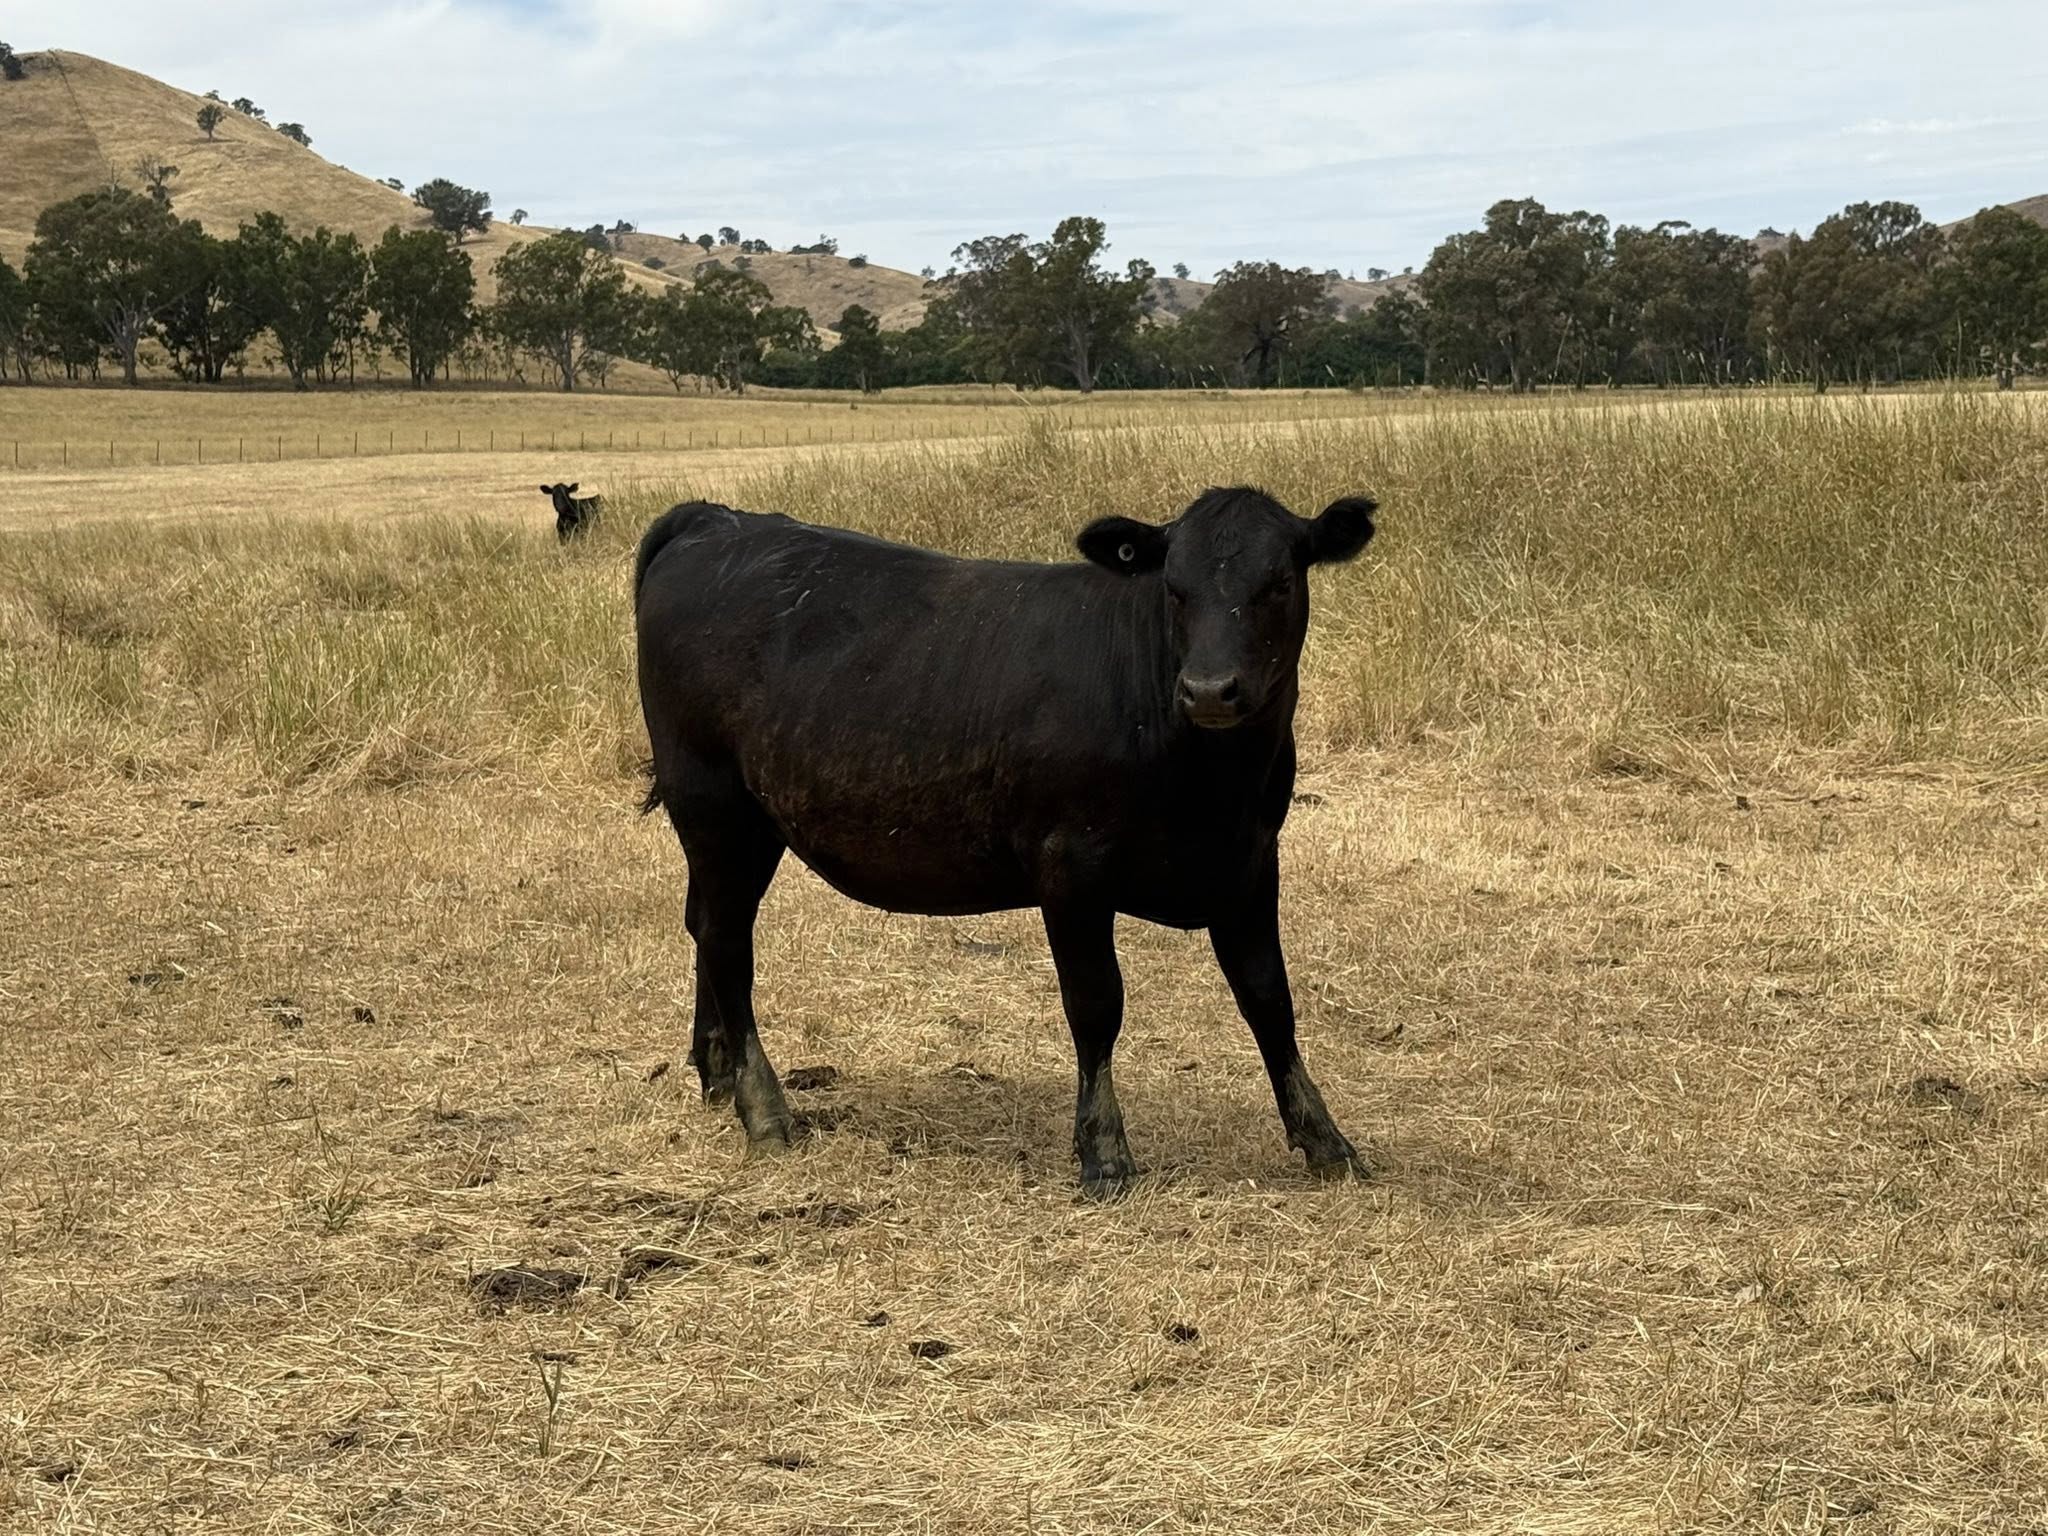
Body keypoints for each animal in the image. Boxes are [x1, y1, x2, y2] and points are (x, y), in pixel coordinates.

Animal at [634, 485, 1378, 1194]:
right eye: (1174, 587)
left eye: (1278, 582)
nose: (1209, 690)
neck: (1211, 782)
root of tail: (718, 519)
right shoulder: (1070, 866)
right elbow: (1096, 1004)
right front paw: (1104, 1152)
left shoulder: (1250, 863)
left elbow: (1269, 999)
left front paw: (1325, 1140)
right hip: (714, 804)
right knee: (728, 942)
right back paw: (763, 1110)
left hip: (745, 824)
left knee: (706, 926)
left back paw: (718, 1074)